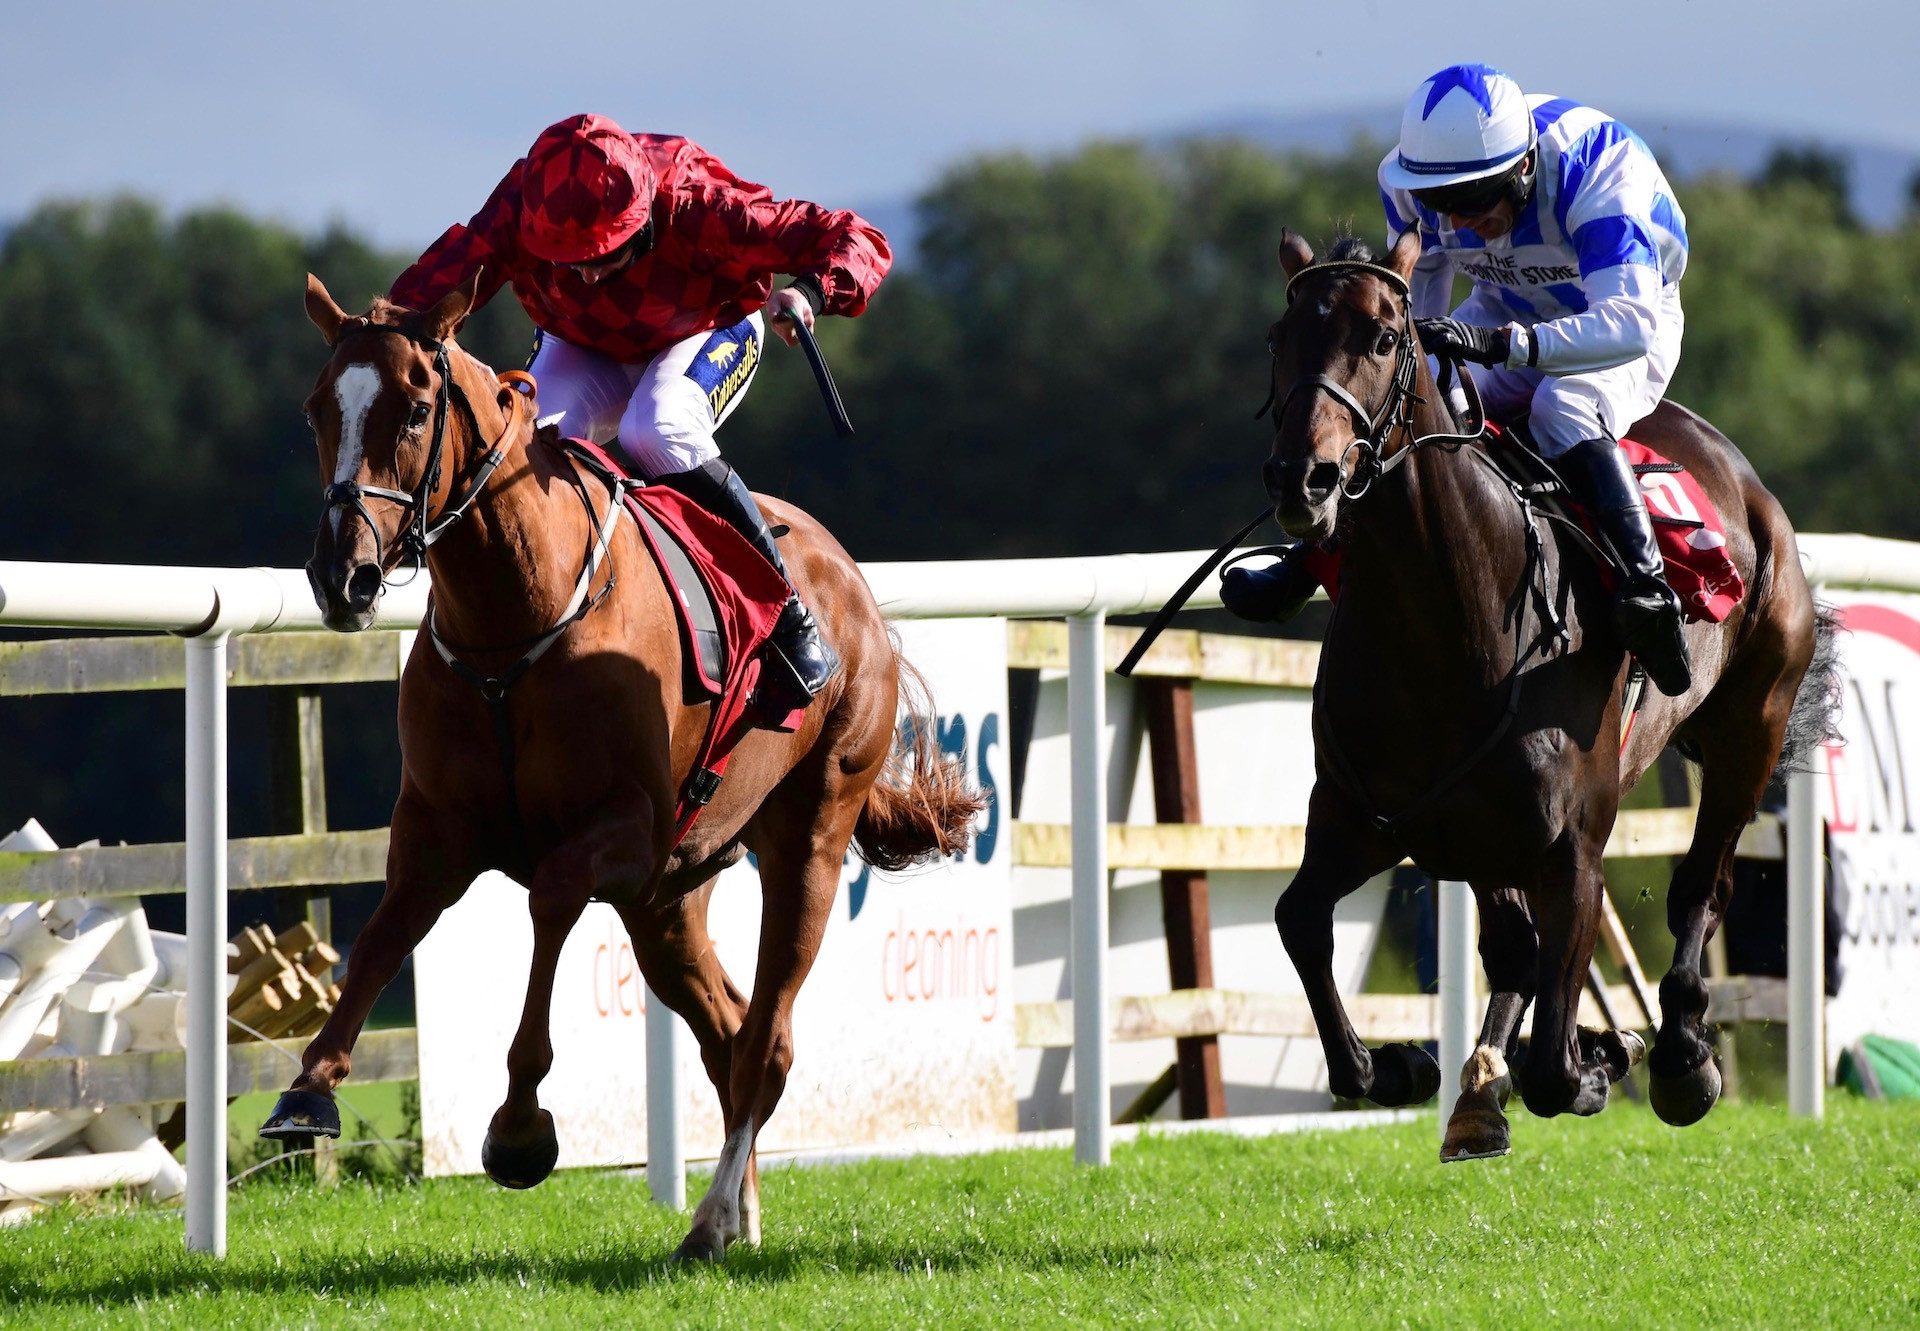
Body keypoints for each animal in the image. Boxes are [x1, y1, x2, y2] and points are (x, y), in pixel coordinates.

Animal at [264, 272, 983, 1259]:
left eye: (412, 409)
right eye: (315, 411)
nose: (345, 576)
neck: (513, 620)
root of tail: (853, 585)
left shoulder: (626, 829)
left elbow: (552, 895)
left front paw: (520, 1124)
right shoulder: (437, 827)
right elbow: (381, 936)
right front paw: (309, 1087)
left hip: (810, 833)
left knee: (767, 1040)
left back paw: (712, 1218)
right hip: (670, 902)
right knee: (727, 1030)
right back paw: (734, 1213)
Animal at [1259, 233, 1827, 1160]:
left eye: (1384, 337)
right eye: (1281, 336)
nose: (1302, 479)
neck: (1446, 620)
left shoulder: (1572, 852)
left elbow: (1559, 1067)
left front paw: (1608, 1053)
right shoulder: (1364, 816)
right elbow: (1300, 919)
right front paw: (1400, 1066)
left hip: (1753, 727)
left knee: (1700, 887)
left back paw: (1678, 1053)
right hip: (1481, 836)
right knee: (1513, 945)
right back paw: (1480, 1092)